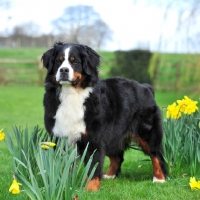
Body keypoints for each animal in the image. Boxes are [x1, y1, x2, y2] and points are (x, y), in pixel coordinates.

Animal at [41, 41, 166, 191]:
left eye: (74, 61)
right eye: (58, 61)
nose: (64, 70)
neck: (71, 94)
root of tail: (145, 87)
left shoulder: (93, 138)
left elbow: (93, 166)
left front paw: (91, 189)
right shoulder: (59, 137)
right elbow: (63, 166)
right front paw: (61, 185)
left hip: (147, 133)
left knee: (156, 155)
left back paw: (159, 179)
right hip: (112, 134)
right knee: (117, 157)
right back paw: (110, 175)